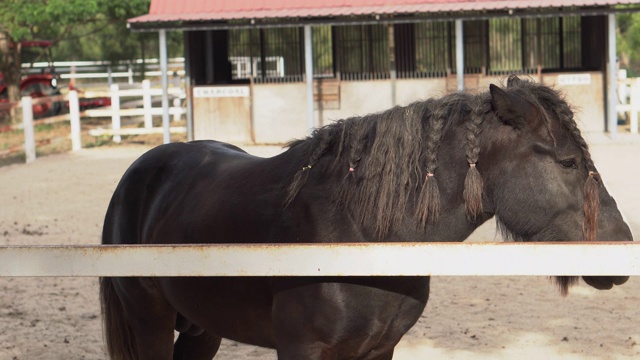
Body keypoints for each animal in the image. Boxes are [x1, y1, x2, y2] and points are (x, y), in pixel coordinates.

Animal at [99, 75, 632, 358]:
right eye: (568, 162)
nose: (622, 245)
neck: (358, 237)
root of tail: (135, 176)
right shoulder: (301, 349)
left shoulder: (378, 349)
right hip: (150, 322)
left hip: (201, 328)